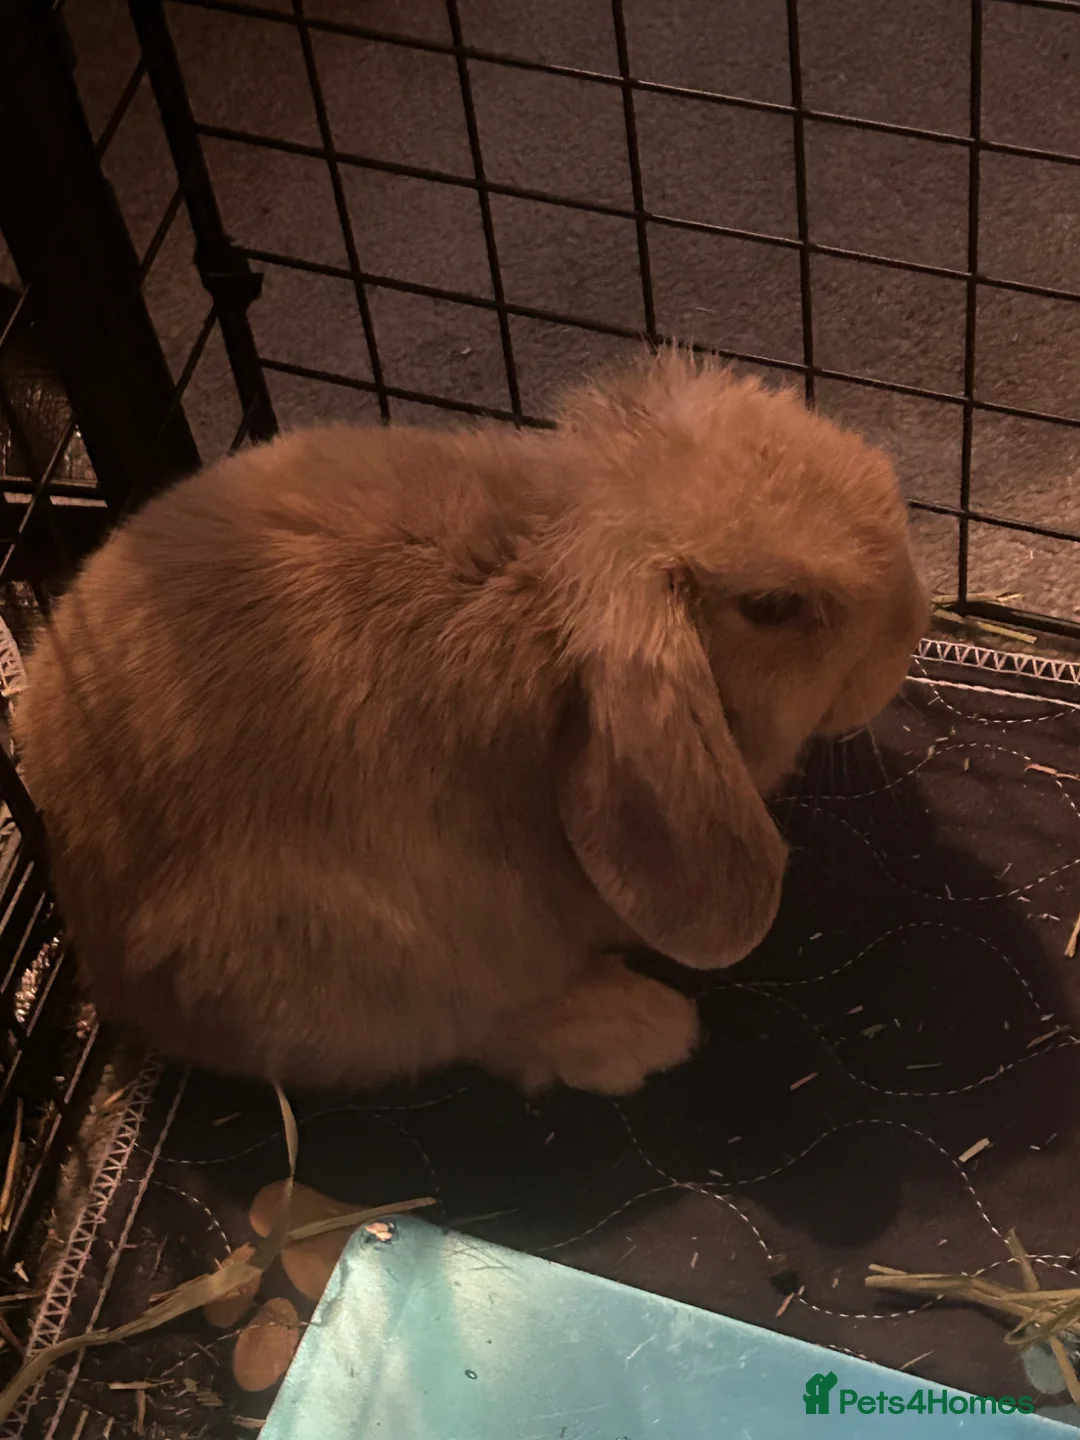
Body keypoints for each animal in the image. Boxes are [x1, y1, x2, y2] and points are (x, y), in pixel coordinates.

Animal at [13, 348, 928, 1097]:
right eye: (773, 607)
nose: (913, 621)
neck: (546, 577)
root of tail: (101, 945)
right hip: (384, 951)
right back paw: (640, 1029)